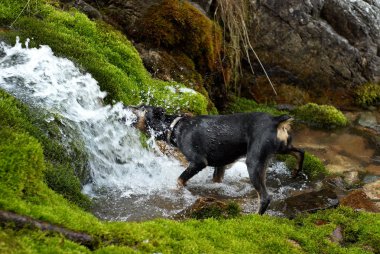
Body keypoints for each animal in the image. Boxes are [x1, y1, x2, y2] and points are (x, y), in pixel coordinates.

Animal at [129, 105, 304, 214]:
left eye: (142, 107)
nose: (128, 106)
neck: (174, 127)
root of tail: (276, 120)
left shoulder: (198, 162)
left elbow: (179, 180)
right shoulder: (220, 165)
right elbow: (216, 181)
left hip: (254, 162)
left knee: (265, 197)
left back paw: (253, 217)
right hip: (281, 147)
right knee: (300, 152)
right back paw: (296, 171)